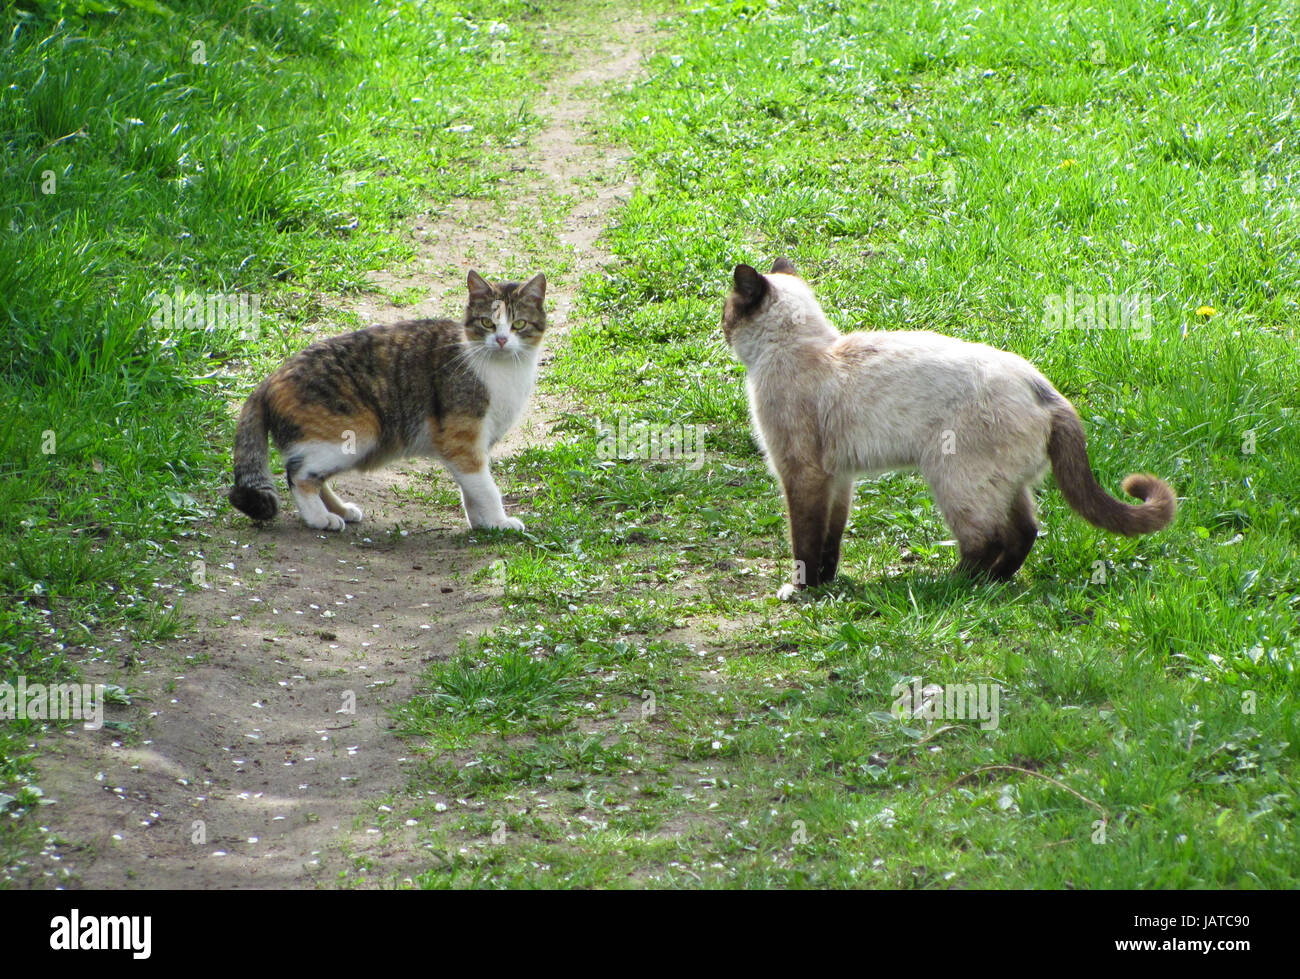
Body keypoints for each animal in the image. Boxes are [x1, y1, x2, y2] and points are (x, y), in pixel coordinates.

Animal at [228, 271, 543, 535]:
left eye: (519, 324)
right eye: (487, 323)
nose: (501, 340)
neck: (505, 370)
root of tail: (269, 379)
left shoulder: (476, 444)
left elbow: (472, 490)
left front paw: (483, 524)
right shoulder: (462, 440)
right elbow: (485, 487)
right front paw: (499, 522)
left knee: (313, 476)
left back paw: (341, 510)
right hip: (360, 432)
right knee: (298, 475)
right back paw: (320, 518)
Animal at [722, 257, 1180, 595]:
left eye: (726, 311)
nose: (720, 329)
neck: (803, 348)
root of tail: (1044, 389)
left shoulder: (802, 474)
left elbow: (805, 541)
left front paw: (802, 590)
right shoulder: (839, 478)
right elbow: (830, 541)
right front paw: (828, 584)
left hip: (952, 478)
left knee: (987, 539)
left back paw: (950, 584)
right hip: (1001, 484)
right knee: (1025, 531)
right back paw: (994, 582)